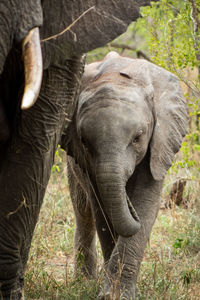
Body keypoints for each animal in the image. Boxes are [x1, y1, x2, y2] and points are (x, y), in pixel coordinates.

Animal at [63, 52, 188, 300]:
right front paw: (109, 294)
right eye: (84, 141)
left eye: (138, 138)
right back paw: (83, 283)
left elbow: (146, 203)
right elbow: (102, 211)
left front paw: (120, 294)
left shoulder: (159, 142)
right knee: (83, 213)